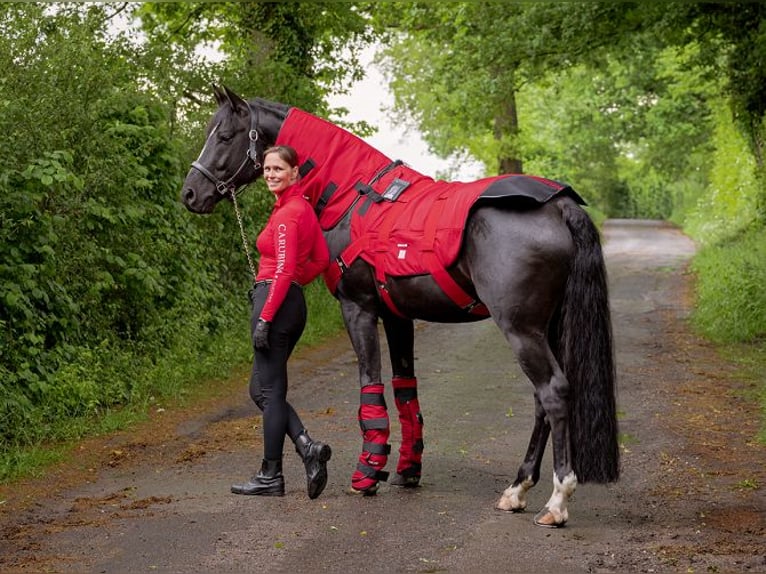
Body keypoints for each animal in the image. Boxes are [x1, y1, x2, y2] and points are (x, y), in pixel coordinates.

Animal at [183, 83, 620, 528]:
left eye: (224, 136)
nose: (190, 193)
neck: (351, 195)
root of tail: (558, 205)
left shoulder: (358, 308)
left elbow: (370, 387)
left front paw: (366, 474)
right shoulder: (397, 316)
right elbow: (405, 389)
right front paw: (408, 469)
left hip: (522, 329)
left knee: (553, 392)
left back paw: (556, 501)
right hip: (545, 328)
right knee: (539, 401)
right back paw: (516, 489)